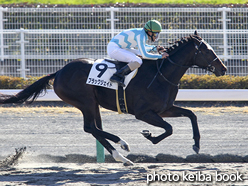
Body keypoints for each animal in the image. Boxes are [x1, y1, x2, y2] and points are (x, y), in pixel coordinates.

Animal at [0, 31, 227, 165]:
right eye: (207, 50)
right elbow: (169, 129)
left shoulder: (164, 109)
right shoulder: (144, 113)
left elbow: (191, 114)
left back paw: (122, 157)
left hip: (93, 103)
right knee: (90, 128)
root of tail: (59, 72)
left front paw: (196, 145)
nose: (223, 69)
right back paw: (123, 144)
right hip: (86, 101)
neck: (162, 73)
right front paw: (149, 136)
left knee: (95, 129)